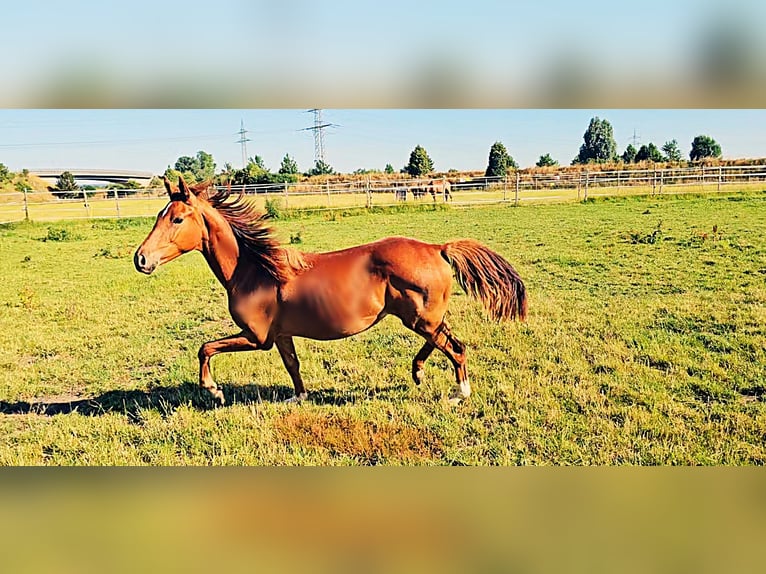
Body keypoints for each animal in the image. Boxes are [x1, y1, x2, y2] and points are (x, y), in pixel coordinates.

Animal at [134, 175, 527, 406]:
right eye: (159, 216)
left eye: (177, 218)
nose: (141, 259)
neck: (255, 270)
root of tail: (437, 248)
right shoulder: (280, 335)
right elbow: (292, 365)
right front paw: (299, 398)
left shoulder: (256, 337)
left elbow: (205, 348)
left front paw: (212, 388)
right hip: (422, 317)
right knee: (444, 340)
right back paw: (417, 372)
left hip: (420, 319)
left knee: (456, 348)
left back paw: (459, 394)